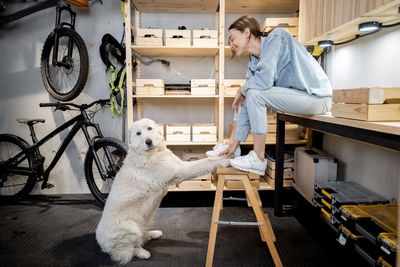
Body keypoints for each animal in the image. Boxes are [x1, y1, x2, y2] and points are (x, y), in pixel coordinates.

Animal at [95, 119, 230, 264]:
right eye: (138, 133)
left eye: (149, 128)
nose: (148, 141)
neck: (152, 152)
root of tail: (102, 246)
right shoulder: (179, 172)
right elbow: (205, 163)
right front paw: (225, 160)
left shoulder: (180, 165)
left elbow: (203, 162)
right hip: (132, 229)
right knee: (130, 249)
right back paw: (142, 253)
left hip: (147, 220)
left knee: (142, 237)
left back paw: (153, 234)